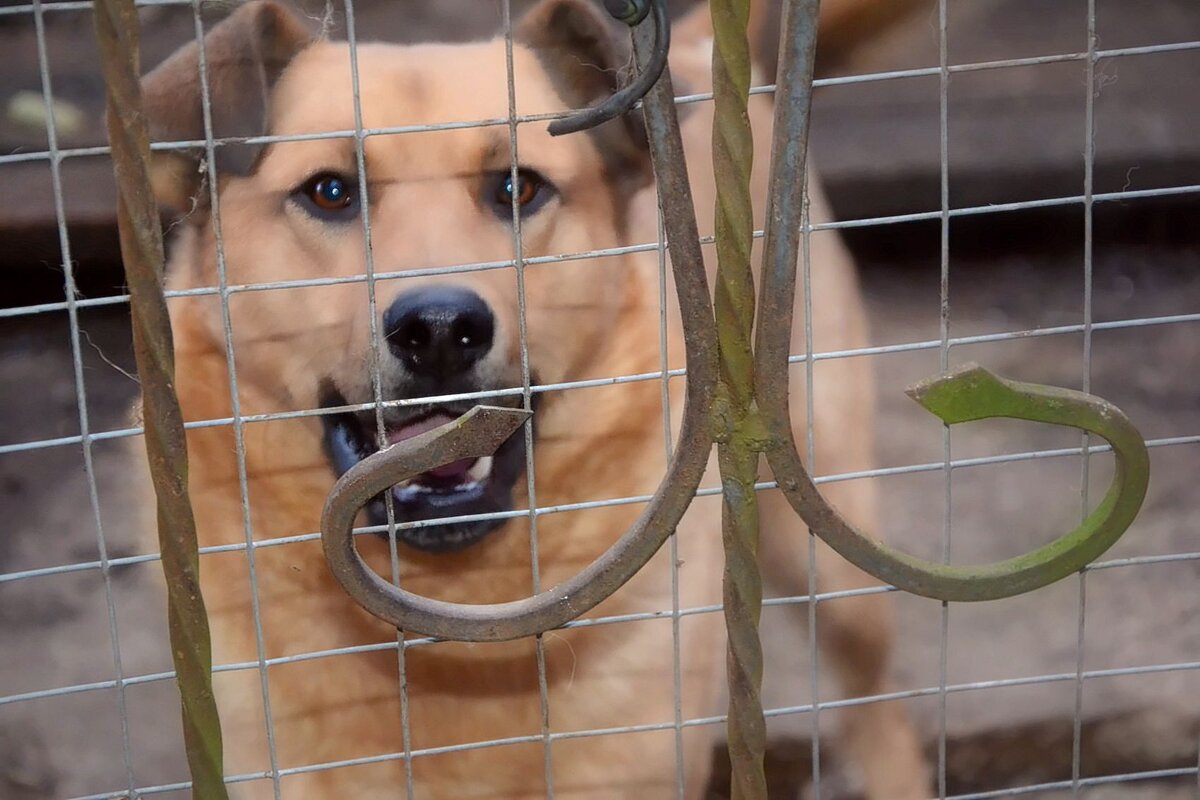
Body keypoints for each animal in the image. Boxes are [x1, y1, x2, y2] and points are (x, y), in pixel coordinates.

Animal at [138, 3, 926, 796]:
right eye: (329, 192)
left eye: (519, 188)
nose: (440, 330)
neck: (460, 614)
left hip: (833, 550)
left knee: (878, 704)